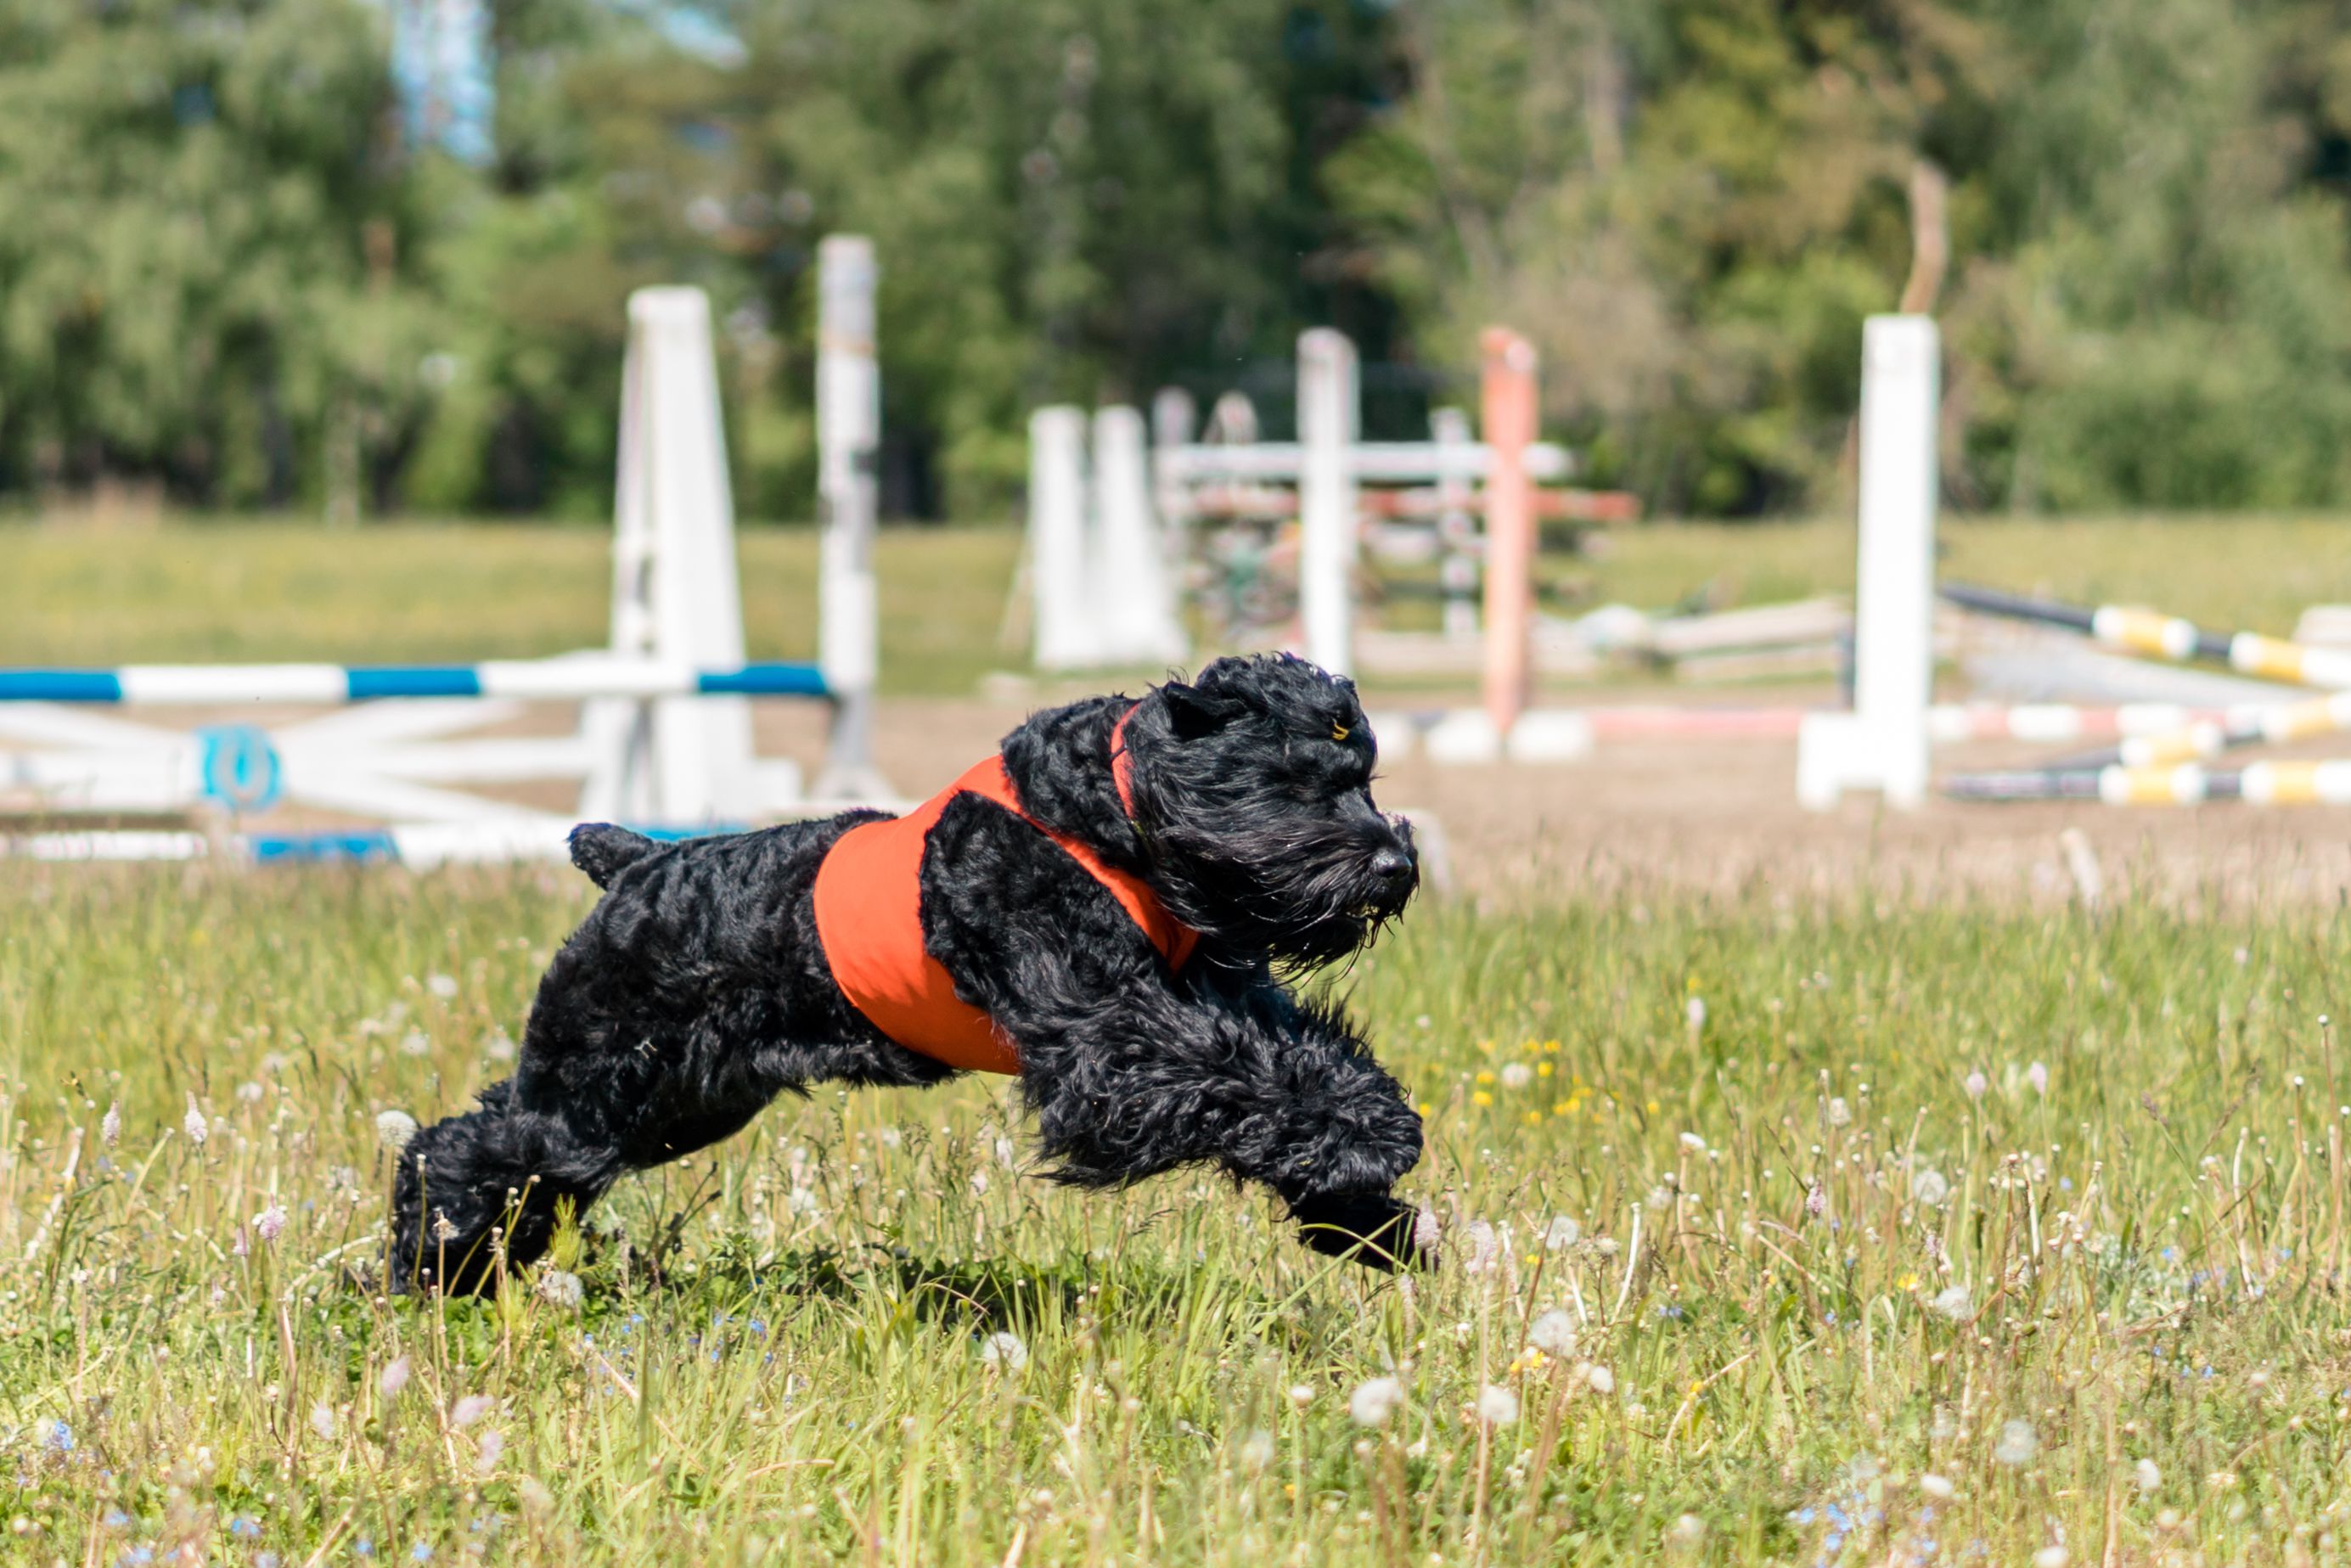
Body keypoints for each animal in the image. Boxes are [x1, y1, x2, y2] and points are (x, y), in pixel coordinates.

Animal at [392, 658, 1420, 1297]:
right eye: (1294, 776)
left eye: (1365, 775)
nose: (1395, 862)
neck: (1105, 818)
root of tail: (637, 865)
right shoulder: (1106, 1045)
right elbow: (1239, 1078)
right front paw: (1376, 1143)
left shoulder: (1217, 998)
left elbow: (1296, 1061)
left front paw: (1368, 1215)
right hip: (599, 1083)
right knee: (457, 1147)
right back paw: (425, 1269)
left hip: (672, 1103)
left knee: (512, 1149)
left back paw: (468, 1268)